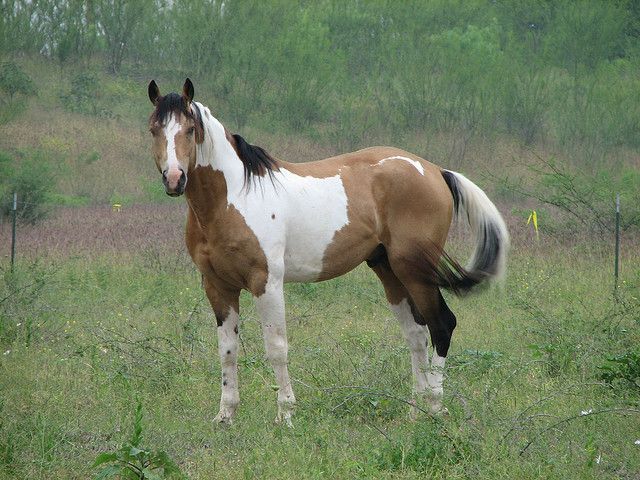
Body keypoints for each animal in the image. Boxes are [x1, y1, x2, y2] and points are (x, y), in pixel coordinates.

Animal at [147, 78, 509, 426]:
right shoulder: (217, 286)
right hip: (390, 271)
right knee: (416, 333)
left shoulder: (266, 283)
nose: (175, 179)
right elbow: (227, 350)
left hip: (415, 270)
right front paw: (225, 415)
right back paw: (415, 411)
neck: (234, 196)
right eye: (154, 129)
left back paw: (434, 407)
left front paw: (285, 414)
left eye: (189, 129)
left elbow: (276, 347)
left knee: (441, 326)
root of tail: (434, 170)